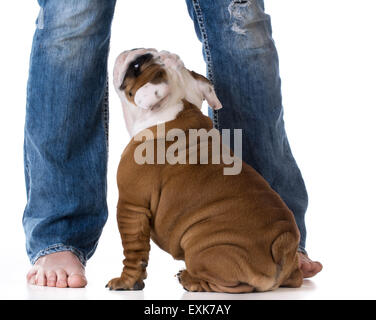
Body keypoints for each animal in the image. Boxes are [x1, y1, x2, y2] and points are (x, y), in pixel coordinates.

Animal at [106, 48, 302, 292]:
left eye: (137, 66)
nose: (141, 51)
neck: (173, 110)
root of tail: (282, 247)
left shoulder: (131, 205)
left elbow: (134, 252)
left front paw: (126, 282)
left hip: (202, 247)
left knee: (229, 285)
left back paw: (189, 279)